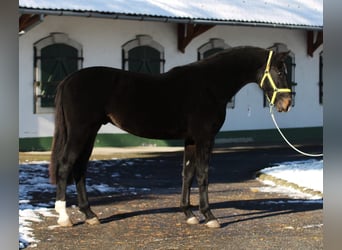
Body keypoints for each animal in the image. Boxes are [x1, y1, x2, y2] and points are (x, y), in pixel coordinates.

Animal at [49, 46, 292, 228]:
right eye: (280, 72)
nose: (287, 103)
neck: (210, 85)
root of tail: (68, 79)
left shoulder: (191, 139)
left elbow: (187, 173)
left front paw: (189, 214)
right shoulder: (205, 138)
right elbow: (203, 175)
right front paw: (209, 216)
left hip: (89, 133)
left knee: (80, 169)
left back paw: (90, 215)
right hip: (80, 132)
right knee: (65, 165)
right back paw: (64, 217)